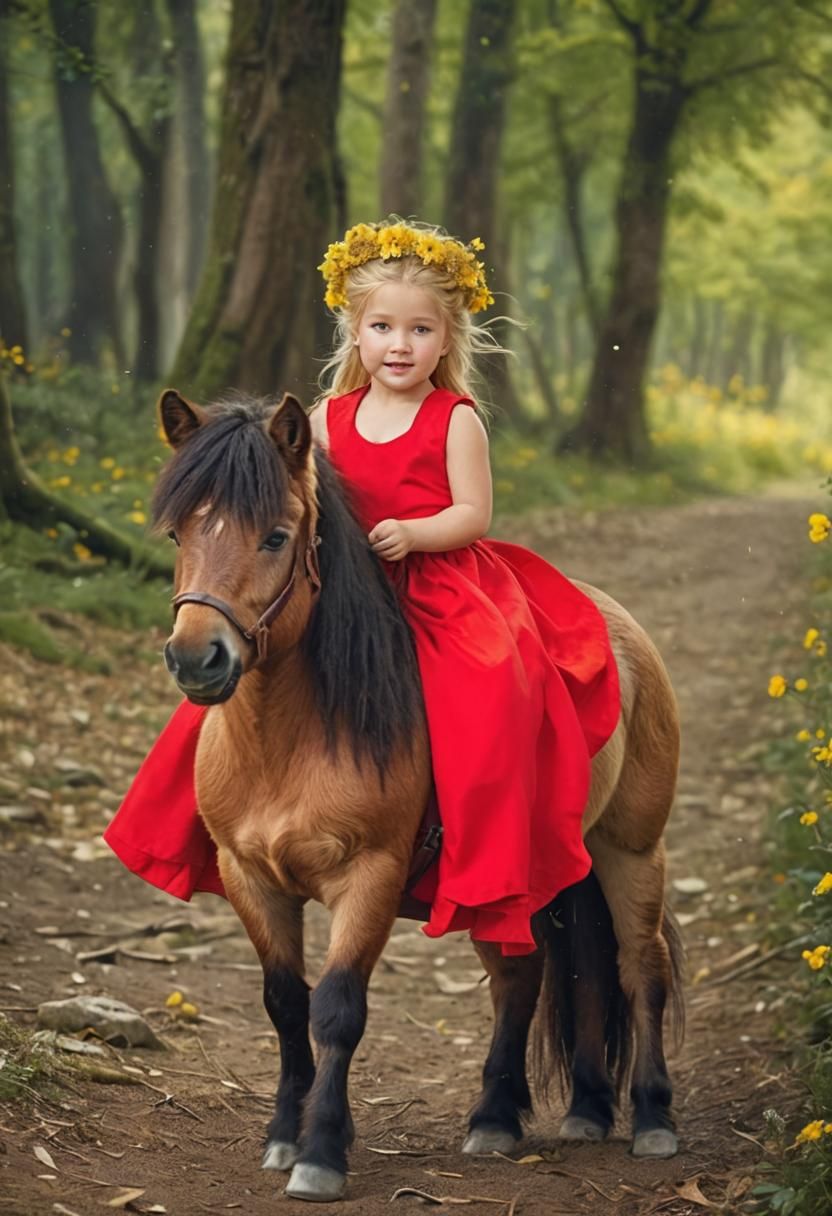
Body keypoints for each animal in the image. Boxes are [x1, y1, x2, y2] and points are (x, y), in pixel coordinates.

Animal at [154, 388, 683, 1203]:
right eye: (179, 530)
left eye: (276, 537)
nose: (195, 658)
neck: (292, 738)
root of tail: (620, 626)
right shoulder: (251, 879)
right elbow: (285, 1002)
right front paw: (284, 1133)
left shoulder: (369, 876)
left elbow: (338, 1009)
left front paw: (321, 1153)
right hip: (521, 878)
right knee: (533, 974)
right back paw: (526, 1114)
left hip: (630, 850)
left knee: (640, 967)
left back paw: (652, 1118)